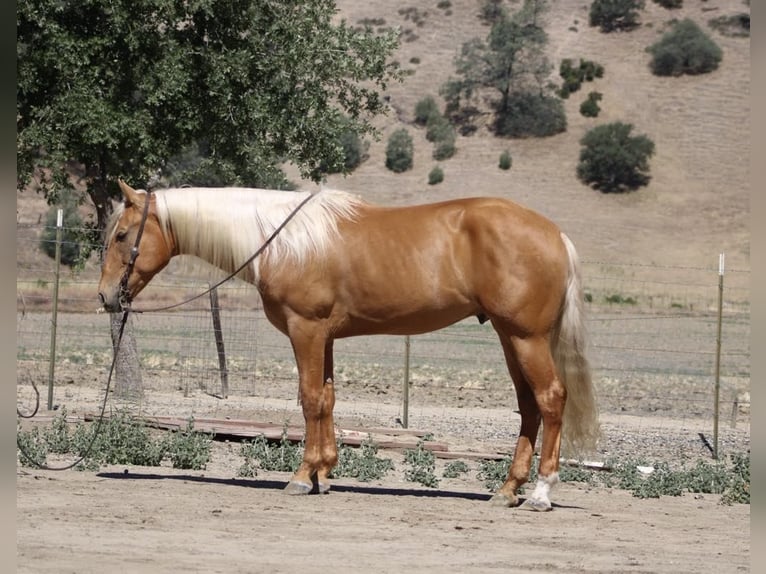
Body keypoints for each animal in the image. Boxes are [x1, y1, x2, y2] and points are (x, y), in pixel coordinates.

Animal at [98, 180, 599, 511]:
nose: (105, 296)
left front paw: (302, 477)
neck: (283, 241)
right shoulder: (326, 338)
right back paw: (508, 490)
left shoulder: (306, 330)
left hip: (525, 338)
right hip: (508, 337)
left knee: (550, 399)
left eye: (122, 235)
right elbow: (327, 399)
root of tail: (554, 234)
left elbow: (308, 398)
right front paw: (324, 472)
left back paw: (541, 492)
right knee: (529, 407)